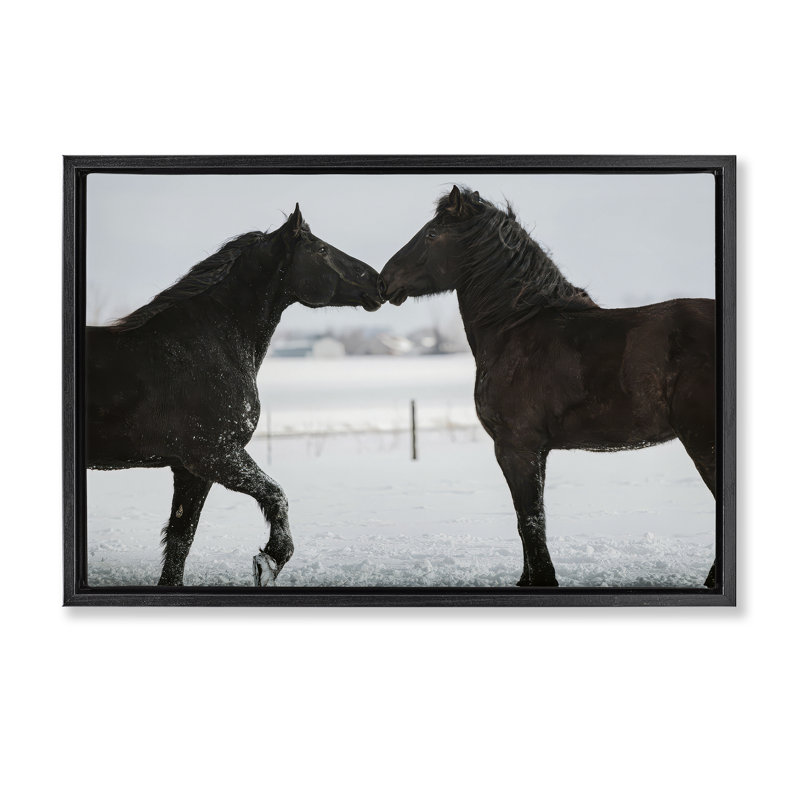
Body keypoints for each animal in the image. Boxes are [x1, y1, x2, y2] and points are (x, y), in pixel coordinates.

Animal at [86, 204, 384, 587]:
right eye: (321, 250)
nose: (378, 282)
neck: (208, 346)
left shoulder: (191, 470)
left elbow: (181, 539)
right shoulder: (216, 456)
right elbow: (276, 495)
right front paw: (270, 559)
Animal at [381, 185, 716, 588]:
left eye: (431, 234)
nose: (383, 280)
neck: (516, 328)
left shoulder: (516, 448)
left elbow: (529, 519)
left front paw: (542, 579)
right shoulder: (535, 451)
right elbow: (527, 519)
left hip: (703, 443)